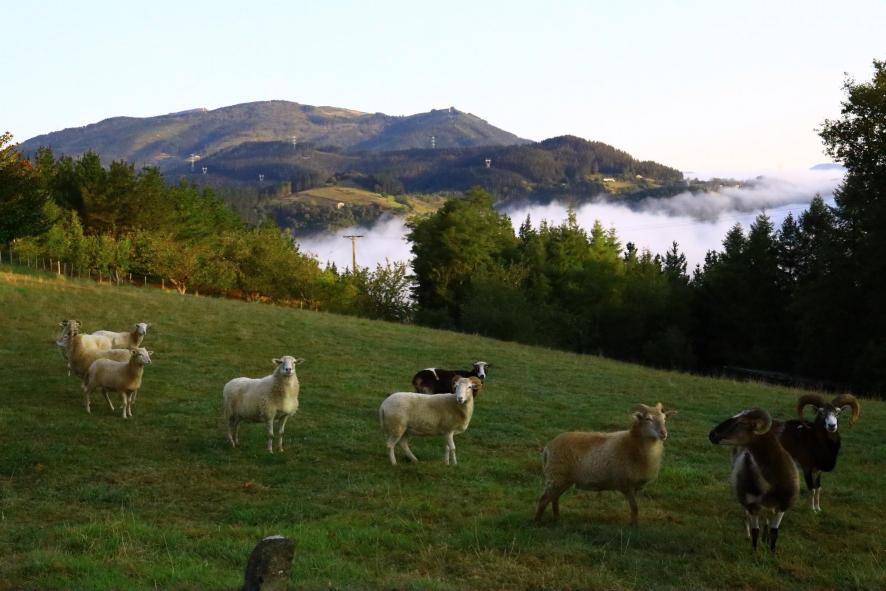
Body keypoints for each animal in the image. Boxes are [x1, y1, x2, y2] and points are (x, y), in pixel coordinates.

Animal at [534, 402, 676, 527]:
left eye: (664, 419)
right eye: (648, 419)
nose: (664, 433)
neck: (632, 444)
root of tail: (548, 448)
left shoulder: (635, 486)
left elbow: (634, 508)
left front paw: (633, 524)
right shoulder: (626, 484)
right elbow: (635, 508)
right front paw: (634, 528)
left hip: (563, 479)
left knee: (554, 498)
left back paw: (557, 519)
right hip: (556, 476)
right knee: (544, 499)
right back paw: (537, 522)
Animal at [709, 408, 799, 552]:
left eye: (741, 422)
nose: (712, 434)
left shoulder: (783, 505)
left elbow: (774, 532)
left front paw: (772, 552)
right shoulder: (751, 504)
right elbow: (755, 530)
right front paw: (754, 553)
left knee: (767, 518)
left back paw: (765, 538)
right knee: (748, 517)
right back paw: (749, 536)